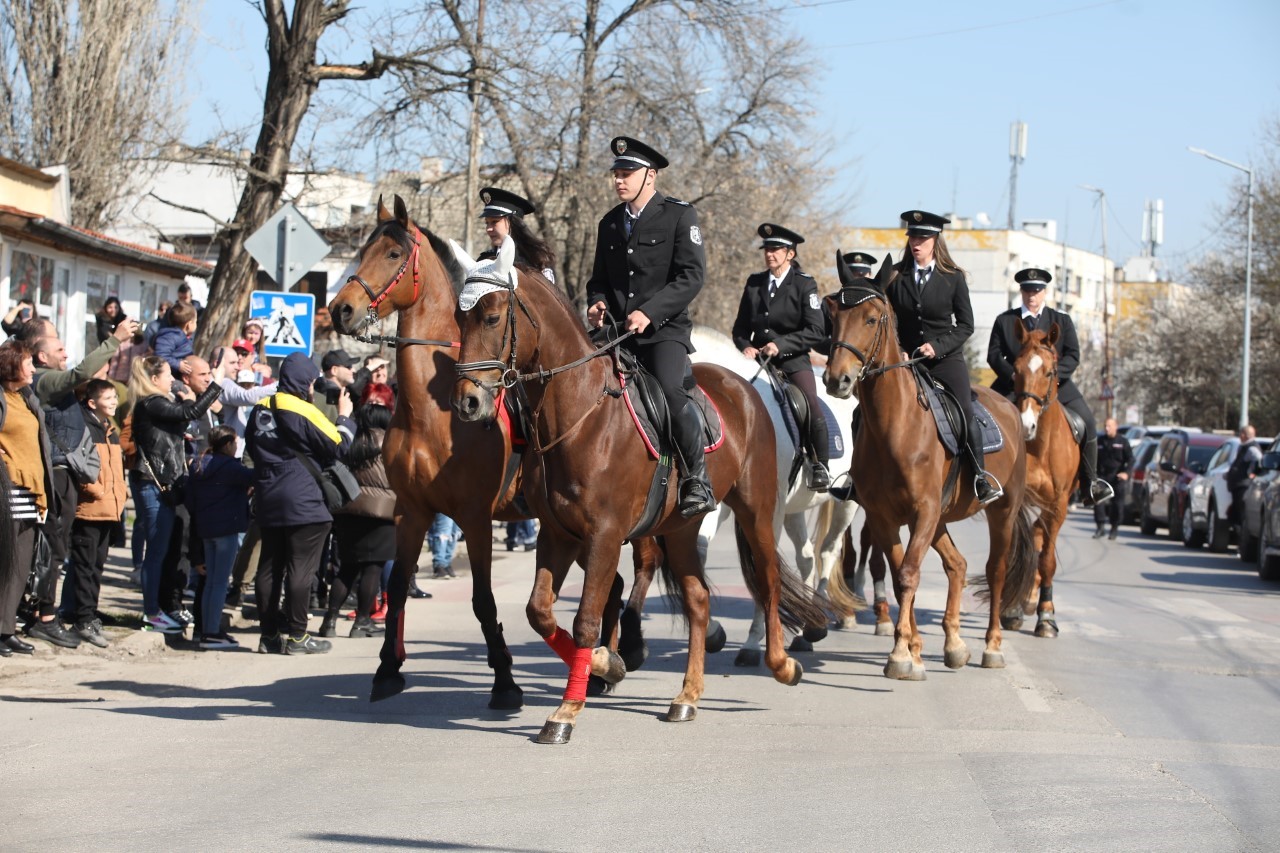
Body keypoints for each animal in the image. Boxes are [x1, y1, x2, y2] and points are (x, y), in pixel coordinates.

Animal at [325, 197, 665, 701]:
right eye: (363, 248)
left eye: (391, 253)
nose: (339, 310)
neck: (429, 412)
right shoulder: (411, 511)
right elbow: (400, 586)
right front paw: (387, 669)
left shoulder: (474, 516)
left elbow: (483, 600)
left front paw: (505, 680)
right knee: (614, 582)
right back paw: (604, 665)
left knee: (642, 566)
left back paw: (628, 650)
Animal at [455, 235, 824, 742]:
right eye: (459, 319)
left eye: (492, 317)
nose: (467, 402)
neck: (580, 414)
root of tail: (747, 388)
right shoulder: (557, 534)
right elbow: (540, 612)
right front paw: (606, 665)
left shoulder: (605, 536)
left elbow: (586, 619)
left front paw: (566, 711)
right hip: (682, 527)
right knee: (699, 599)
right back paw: (687, 696)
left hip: (757, 511)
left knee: (767, 580)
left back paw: (781, 663)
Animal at [691, 325, 860, 666]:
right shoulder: (722, 504)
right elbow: (700, 550)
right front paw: (714, 633)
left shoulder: (770, 508)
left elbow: (763, 563)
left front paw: (752, 644)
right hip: (795, 508)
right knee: (806, 558)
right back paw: (807, 630)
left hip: (846, 502)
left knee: (828, 551)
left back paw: (817, 623)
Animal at [819, 252, 1039, 676]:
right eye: (831, 313)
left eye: (872, 318)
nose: (837, 380)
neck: (897, 426)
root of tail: (1010, 407)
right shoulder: (885, 516)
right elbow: (900, 573)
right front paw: (912, 648)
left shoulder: (923, 511)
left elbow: (908, 574)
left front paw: (901, 655)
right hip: (941, 518)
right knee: (957, 565)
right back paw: (954, 644)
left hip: (1000, 510)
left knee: (995, 570)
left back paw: (991, 646)